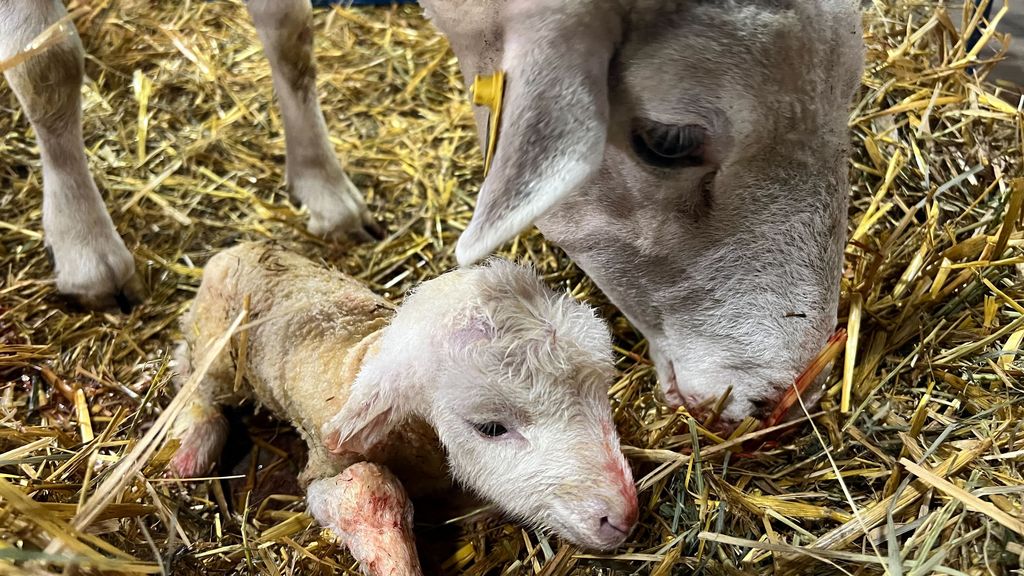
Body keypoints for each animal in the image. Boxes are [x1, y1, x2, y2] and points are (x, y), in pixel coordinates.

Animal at [0, 0, 864, 428]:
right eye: (668, 141)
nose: (792, 391)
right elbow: (47, 62)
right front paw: (84, 248)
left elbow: (291, 34)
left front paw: (322, 188)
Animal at [168, 240, 638, 569]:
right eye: (489, 427)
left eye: (601, 393)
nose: (622, 518)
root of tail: (233, 251)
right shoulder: (322, 465)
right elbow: (369, 490)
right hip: (218, 354)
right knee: (193, 381)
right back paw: (188, 455)